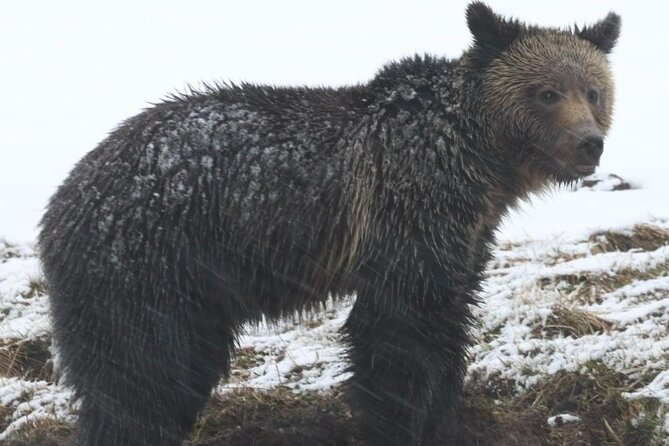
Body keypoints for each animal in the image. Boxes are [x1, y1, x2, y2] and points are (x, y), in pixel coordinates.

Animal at [39, 3, 620, 446]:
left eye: (593, 91)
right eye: (546, 92)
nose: (589, 144)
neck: (480, 160)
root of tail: (62, 199)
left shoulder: (467, 234)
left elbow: (449, 319)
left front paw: (446, 413)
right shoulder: (408, 210)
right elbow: (396, 332)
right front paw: (398, 422)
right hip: (147, 264)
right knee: (141, 374)